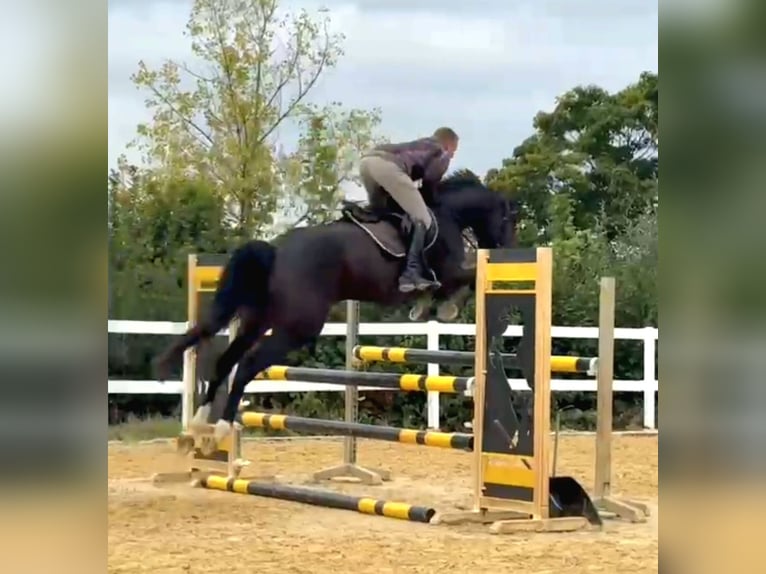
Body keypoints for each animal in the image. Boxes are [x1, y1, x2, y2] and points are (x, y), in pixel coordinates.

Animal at [155, 170, 519, 440]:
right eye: (508, 220)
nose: (508, 249)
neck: (447, 215)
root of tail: (277, 251)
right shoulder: (451, 271)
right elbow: (468, 279)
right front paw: (448, 309)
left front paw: (428, 307)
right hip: (296, 328)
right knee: (246, 366)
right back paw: (222, 427)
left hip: (258, 320)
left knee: (226, 361)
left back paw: (200, 422)